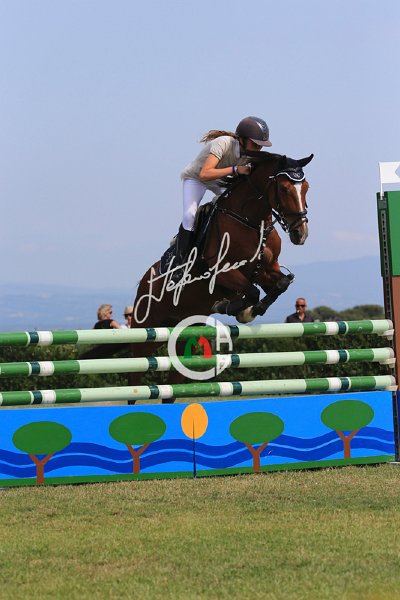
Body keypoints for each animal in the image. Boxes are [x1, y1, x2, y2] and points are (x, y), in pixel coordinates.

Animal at [129, 151, 313, 401]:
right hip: (145, 332)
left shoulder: (266, 270)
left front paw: (248, 310)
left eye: (306, 188)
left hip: (184, 335)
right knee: (134, 381)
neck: (251, 222)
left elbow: (280, 284)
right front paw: (234, 308)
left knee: (172, 386)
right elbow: (251, 291)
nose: (300, 234)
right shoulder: (221, 271)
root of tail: (143, 281)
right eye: (284, 189)